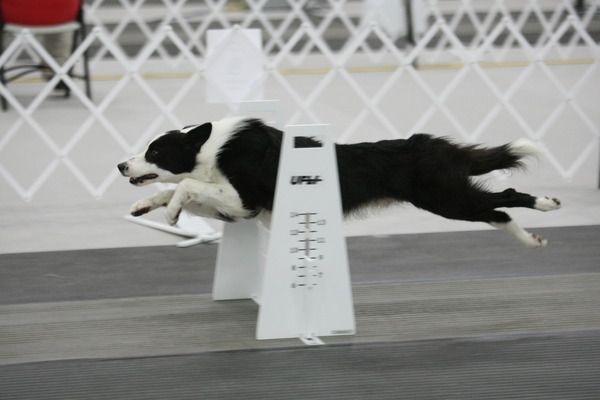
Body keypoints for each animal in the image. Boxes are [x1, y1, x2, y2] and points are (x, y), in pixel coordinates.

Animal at [117, 116, 561, 247]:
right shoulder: (242, 210)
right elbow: (177, 187)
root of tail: (432, 144)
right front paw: (144, 206)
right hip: (451, 198)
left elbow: (186, 186)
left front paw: (172, 213)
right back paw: (533, 238)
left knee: (506, 197)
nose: (121, 165)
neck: (211, 147)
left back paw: (547, 206)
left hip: (445, 198)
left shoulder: (244, 199)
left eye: (155, 152)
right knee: (497, 212)